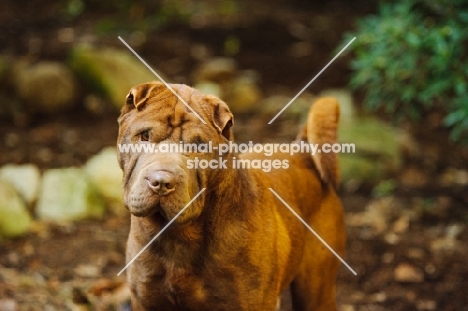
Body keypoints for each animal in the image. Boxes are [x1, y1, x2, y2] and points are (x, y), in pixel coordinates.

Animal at [116, 83, 344, 311]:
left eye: (199, 147)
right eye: (145, 136)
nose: (162, 182)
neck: (178, 238)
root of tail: (302, 152)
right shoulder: (146, 299)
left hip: (315, 292)